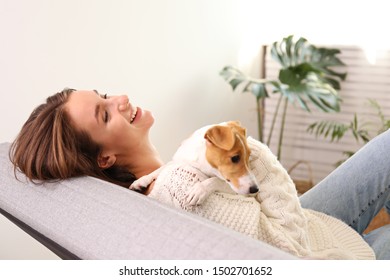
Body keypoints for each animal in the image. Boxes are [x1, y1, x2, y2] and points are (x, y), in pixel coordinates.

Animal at [129, 121, 260, 206]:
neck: (203, 163)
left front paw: (199, 190)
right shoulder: (179, 160)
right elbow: (162, 167)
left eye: (249, 155)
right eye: (235, 158)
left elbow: (216, 180)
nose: (255, 189)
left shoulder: (240, 191)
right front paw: (141, 180)